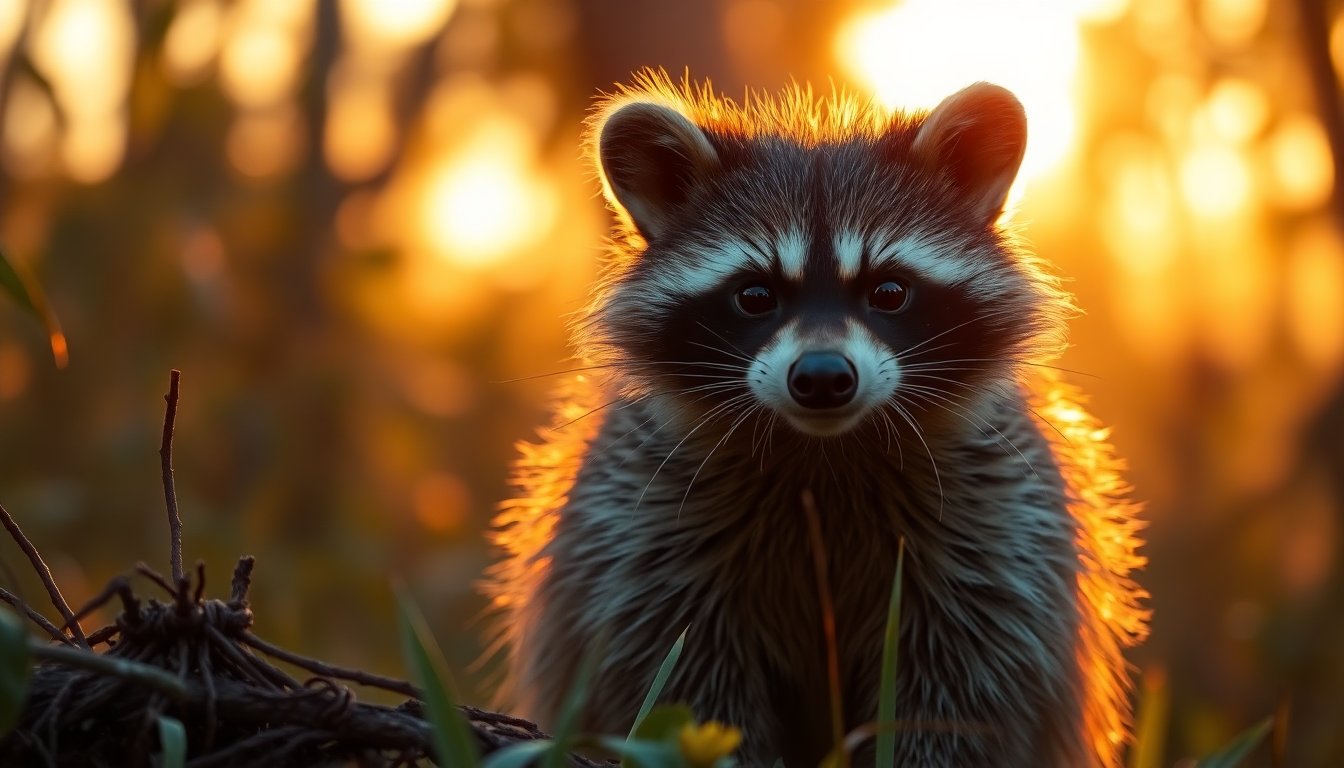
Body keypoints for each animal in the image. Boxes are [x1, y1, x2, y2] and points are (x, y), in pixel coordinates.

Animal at [486, 72, 1148, 767]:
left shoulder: (997, 529)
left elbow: (964, 684)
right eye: (755, 295)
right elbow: (678, 674)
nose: (824, 377)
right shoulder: (642, 529)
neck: (825, 451)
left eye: (889, 291)